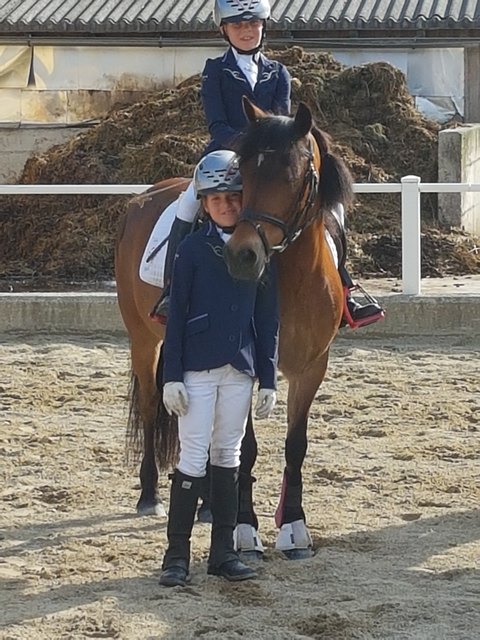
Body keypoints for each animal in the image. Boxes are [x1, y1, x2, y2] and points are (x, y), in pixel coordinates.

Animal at [115, 98, 353, 558]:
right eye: (242, 173)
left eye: (295, 175)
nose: (243, 255)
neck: (294, 280)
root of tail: (144, 197)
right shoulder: (247, 364)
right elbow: (247, 448)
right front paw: (246, 529)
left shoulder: (312, 366)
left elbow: (295, 445)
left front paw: (293, 527)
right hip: (143, 340)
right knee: (153, 406)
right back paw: (150, 495)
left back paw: (208, 504)